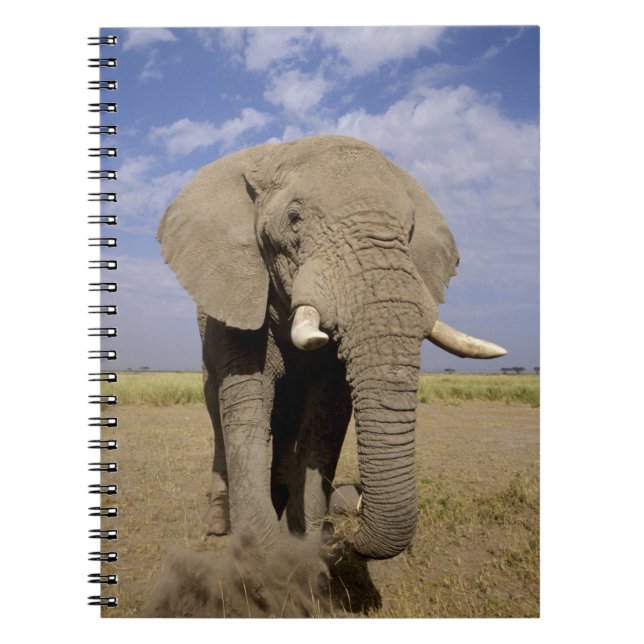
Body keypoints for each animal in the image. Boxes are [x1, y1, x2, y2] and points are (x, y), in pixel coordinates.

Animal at [157, 135, 506, 560]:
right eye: (294, 219)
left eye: (409, 231)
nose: (349, 518)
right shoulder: (237, 295)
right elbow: (248, 400)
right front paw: (263, 551)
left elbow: (328, 411)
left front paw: (305, 539)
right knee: (218, 413)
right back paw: (221, 523)